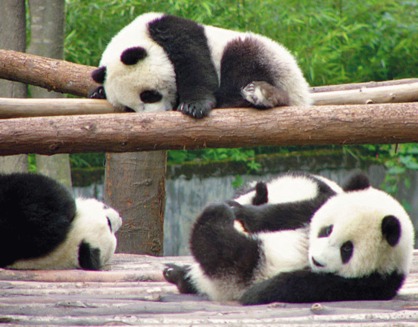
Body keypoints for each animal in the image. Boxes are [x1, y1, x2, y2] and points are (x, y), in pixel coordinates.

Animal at [90, 12, 312, 119]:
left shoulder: (174, 31)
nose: (155, 115)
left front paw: (194, 106)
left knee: (242, 55)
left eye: (149, 95)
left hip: (273, 62)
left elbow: (194, 64)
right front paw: (98, 92)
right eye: (129, 108)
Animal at [164, 174, 414, 304]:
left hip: (246, 261)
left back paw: (214, 218)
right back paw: (177, 273)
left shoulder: (369, 282)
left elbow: (303, 285)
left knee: (227, 251)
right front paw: (240, 210)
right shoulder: (314, 203)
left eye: (347, 250)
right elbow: (287, 213)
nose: (316, 259)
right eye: (326, 230)